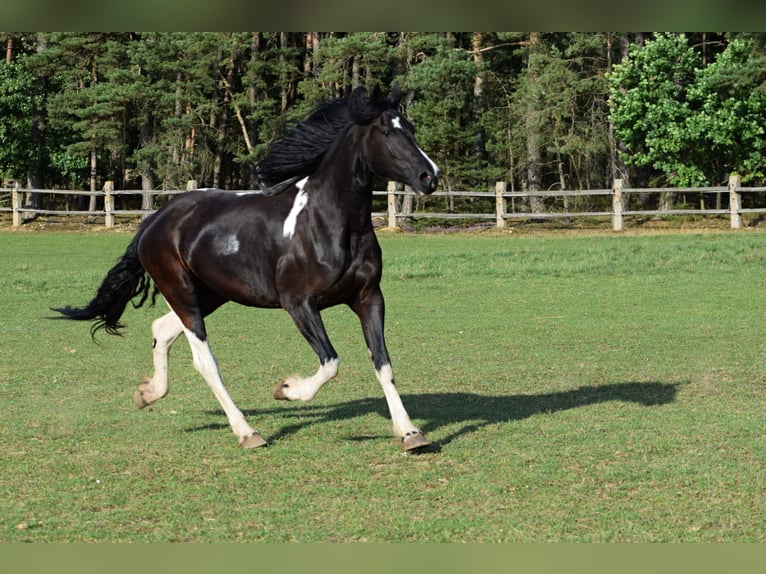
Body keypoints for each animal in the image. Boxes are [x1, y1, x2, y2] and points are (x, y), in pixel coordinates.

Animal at [54, 85, 440, 454]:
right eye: (387, 133)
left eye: (411, 128)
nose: (430, 176)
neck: (329, 222)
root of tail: (156, 219)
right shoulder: (298, 303)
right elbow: (330, 362)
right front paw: (286, 389)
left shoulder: (369, 297)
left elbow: (383, 364)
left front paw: (410, 434)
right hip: (180, 290)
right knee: (204, 361)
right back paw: (247, 432)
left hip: (210, 293)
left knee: (161, 329)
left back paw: (147, 393)